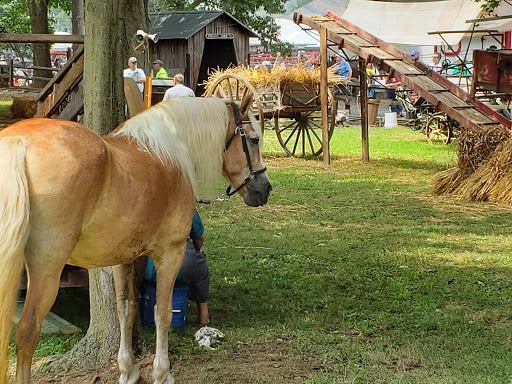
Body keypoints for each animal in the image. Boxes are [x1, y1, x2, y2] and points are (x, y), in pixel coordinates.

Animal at [0, 97, 272, 384]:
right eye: (254, 139)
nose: (265, 188)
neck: (170, 151)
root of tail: (19, 141)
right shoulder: (170, 255)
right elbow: (162, 312)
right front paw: (162, 372)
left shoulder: (125, 259)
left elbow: (126, 309)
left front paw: (127, 370)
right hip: (46, 270)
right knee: (28, 332)